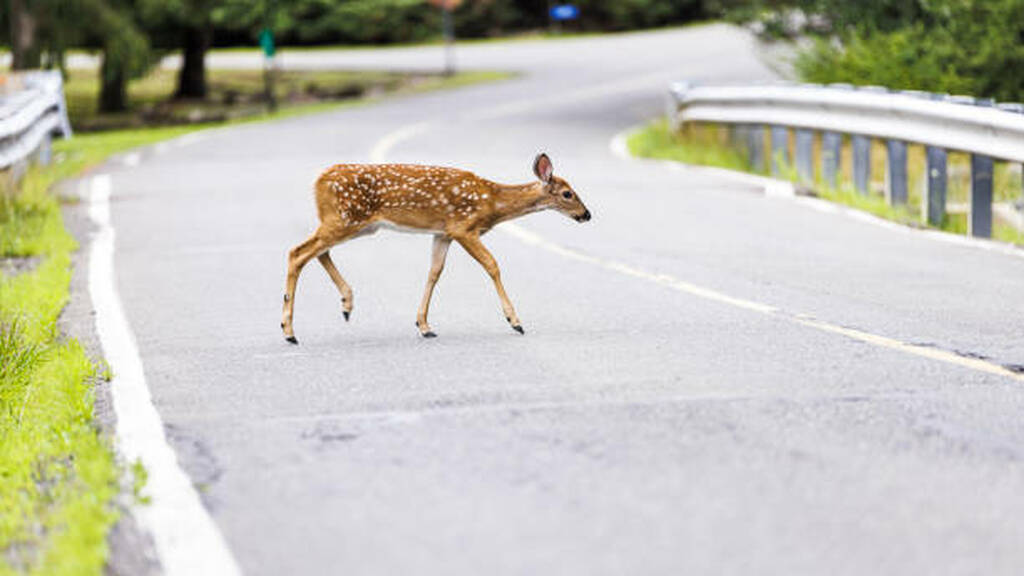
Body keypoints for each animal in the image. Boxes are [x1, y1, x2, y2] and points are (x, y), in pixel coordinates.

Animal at [280, 153, 591, 343]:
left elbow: (434, 272)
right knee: (298, 252)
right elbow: (492, 264)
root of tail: (318, 182)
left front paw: (424, 326)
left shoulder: (442, 233)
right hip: (345, 218)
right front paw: (515, 320)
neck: (492, 202)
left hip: (354, 224)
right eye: (568, 193)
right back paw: (289, 331)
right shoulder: (463, 226)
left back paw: (346, 304)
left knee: (317, 251)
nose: (587, 214)